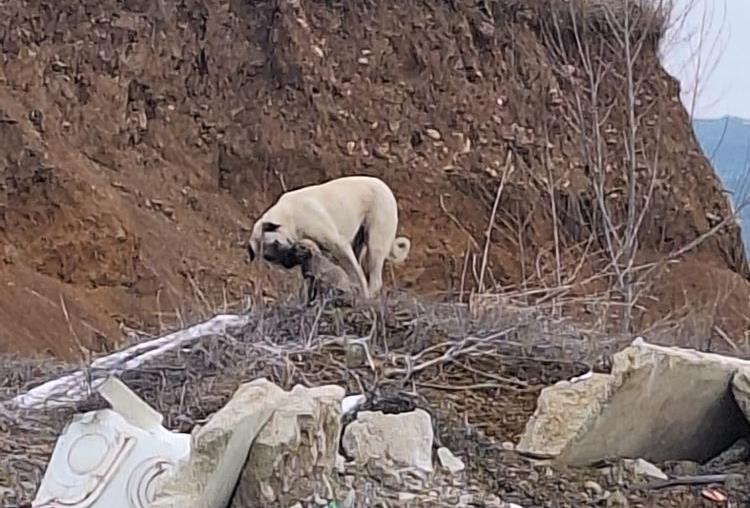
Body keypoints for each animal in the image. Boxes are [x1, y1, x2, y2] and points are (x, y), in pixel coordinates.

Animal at [247, 176, 412, 298]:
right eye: (270, 257)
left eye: (276, 243)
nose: (286, 263)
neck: (289, 216)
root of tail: (385, 186)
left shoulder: (339, 246)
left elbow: (357, 276)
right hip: (359, 245)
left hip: (375, 245)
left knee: (374, 279)